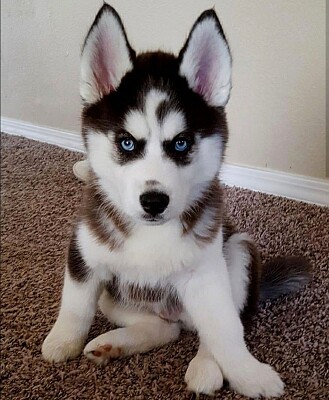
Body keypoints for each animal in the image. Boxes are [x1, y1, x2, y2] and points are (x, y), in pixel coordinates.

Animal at [41, 3, 310, 396]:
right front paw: (62, 342)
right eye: (126, 143)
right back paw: (113, 343)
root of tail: (178, 315)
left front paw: (249, 374)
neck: (150, 233)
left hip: (238, 251)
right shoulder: (85, 252)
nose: (154, 201)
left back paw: (206, 369)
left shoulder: (207, 275)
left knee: (217, 327)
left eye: (181, 143)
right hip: (116, 296)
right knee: (164, 328)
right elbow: (75, 304)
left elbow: (226, 331)